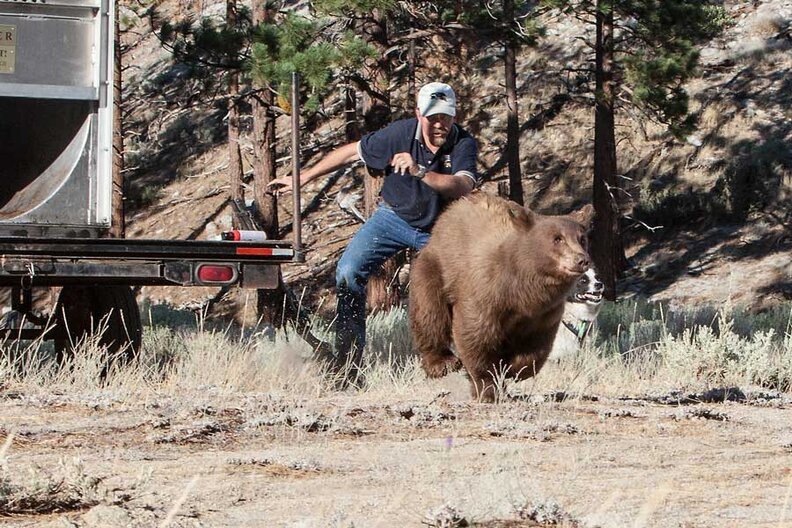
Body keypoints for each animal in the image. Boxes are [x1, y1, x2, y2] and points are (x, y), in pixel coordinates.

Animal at [409, 192, 593, 402]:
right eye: (557, 239)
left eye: (582, 239)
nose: (581, 259)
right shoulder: (487, 293)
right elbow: (475, 335)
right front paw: (488, 388)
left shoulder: (544, 313)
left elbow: (536, 347)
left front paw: (511, 368)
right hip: (434, 271)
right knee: (430, 314)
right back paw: (442, 363)